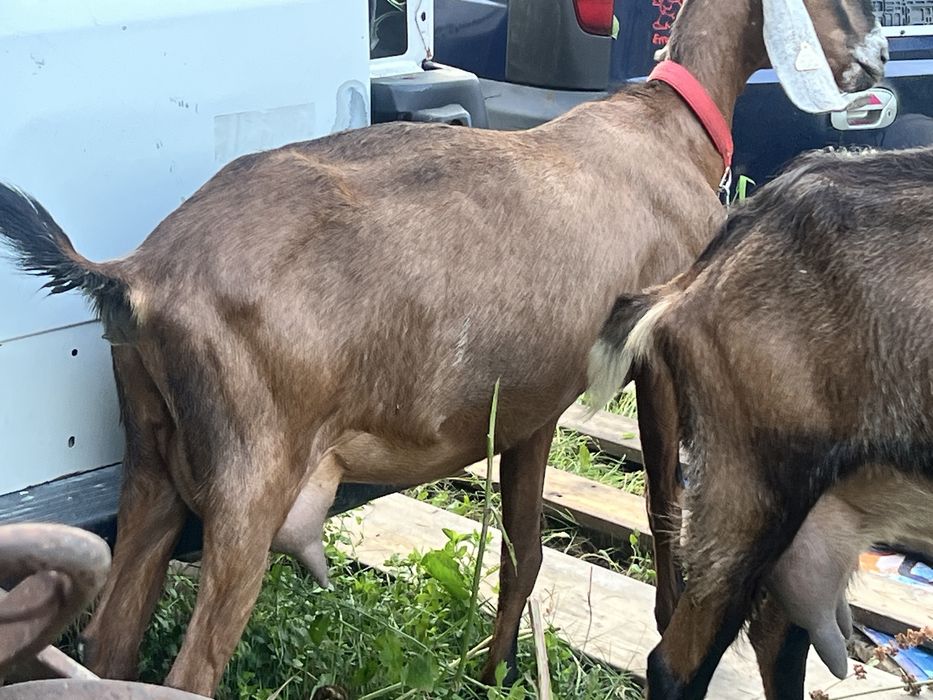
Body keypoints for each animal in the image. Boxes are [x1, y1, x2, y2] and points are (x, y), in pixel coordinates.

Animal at [0, 1, 886, 695]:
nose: (875, 60)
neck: (667, 133)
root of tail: (137, 274)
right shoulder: (657, 367)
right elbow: (662, 514)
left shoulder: (532, 408)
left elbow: (523, 553)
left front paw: (492, 674)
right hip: (250, 482)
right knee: (189, 672)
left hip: (151, 464)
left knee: (108, 648)